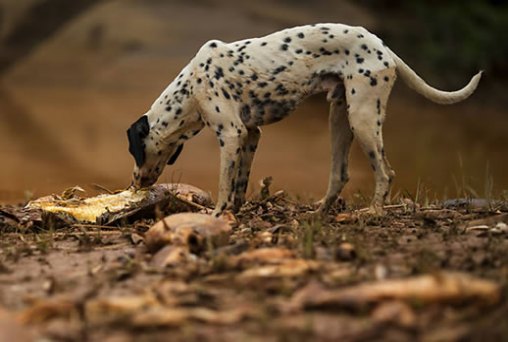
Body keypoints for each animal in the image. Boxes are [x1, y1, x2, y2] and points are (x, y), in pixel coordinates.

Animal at [126, 23, 480, 216]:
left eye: (134, 151)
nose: (134, 185)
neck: (191, 86)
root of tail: (383, 47)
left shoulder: (231, 134)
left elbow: (225, 186)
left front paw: (217, 216)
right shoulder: (250, 135)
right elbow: (239, 184)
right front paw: (236, 213)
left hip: (363, 120)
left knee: (386, 173)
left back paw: (374, 211)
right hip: (341, 120)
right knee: (340, 175)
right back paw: (320, 213)